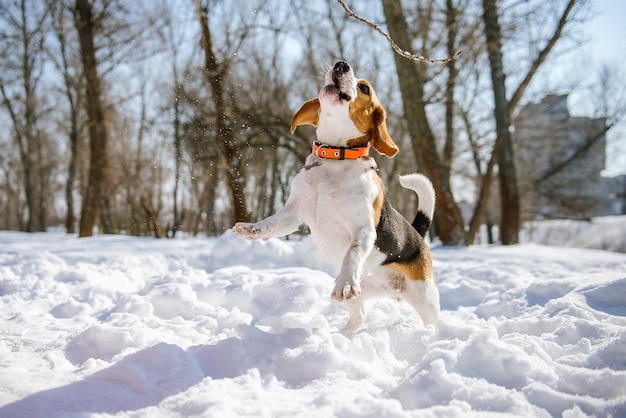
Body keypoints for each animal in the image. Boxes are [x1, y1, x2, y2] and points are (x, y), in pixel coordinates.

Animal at [230, 60, 438, 332]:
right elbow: (271, 223)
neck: (335, 155)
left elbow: (353, 253)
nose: (342, 64)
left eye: (364, 88)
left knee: (433, 322)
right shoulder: (295, 212)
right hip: (363, 295)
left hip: (425, 297)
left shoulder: (363, 229)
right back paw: (343, 335)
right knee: (359, 317)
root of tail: (418, 235)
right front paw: (252, 229)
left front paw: (346, 282)